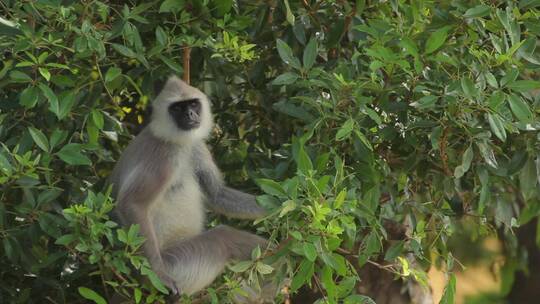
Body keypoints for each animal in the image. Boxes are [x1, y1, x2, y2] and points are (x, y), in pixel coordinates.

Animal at [110, 75, 270, 296]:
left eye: (193, 104)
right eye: (177, 108)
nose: (190, 114)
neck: (177, 141)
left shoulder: (196, 146)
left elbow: (216, 194)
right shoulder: (164, 156)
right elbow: (131, 204)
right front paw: (158, 274)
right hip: (179, 262)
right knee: (223, 237)